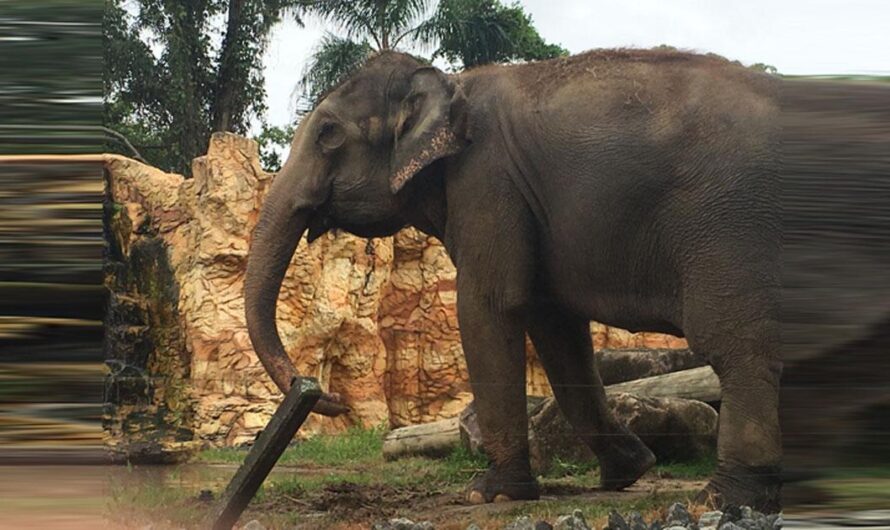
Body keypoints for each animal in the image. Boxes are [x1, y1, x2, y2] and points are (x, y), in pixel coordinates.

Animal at [239, 47, 888, 510]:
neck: (452, 85)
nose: (324, 394)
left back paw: (724, 498)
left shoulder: (487, 181)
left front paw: (489, 493)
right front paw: (628, 471)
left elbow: (491, 307)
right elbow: (554, 324)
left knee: (738, 347)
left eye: (328, 134)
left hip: (735, 224)